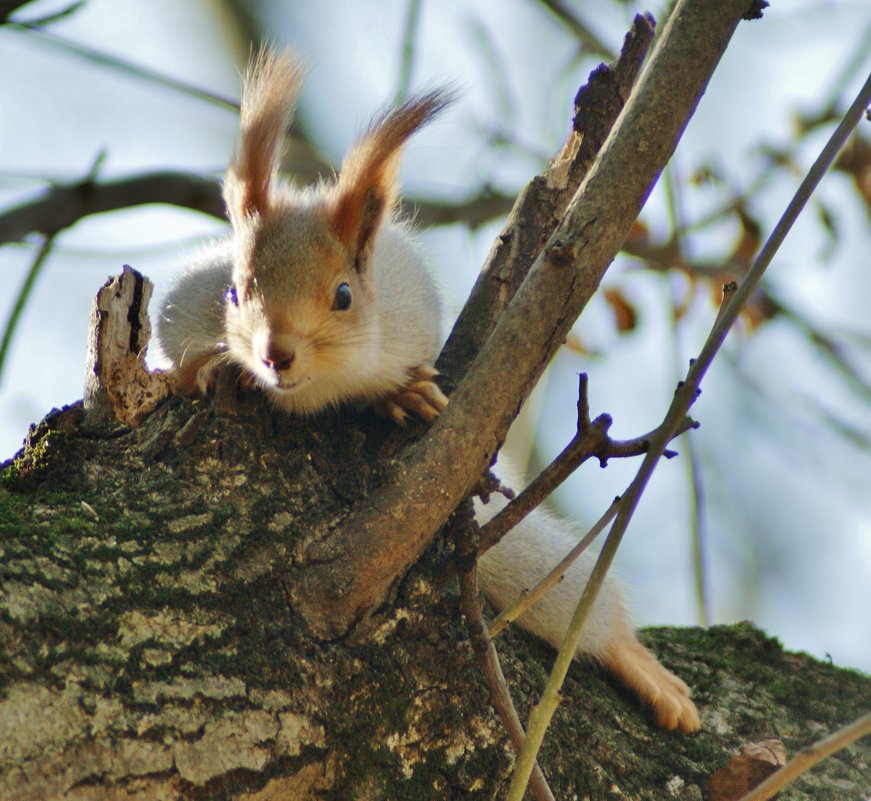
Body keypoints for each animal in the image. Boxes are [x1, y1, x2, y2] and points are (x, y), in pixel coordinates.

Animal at [155, 48, 700, 732]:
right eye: (234, 292)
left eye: (343, 295)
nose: (275, 354)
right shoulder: (185, 303)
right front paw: (206, 369)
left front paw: (404, 396)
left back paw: (648, 673)